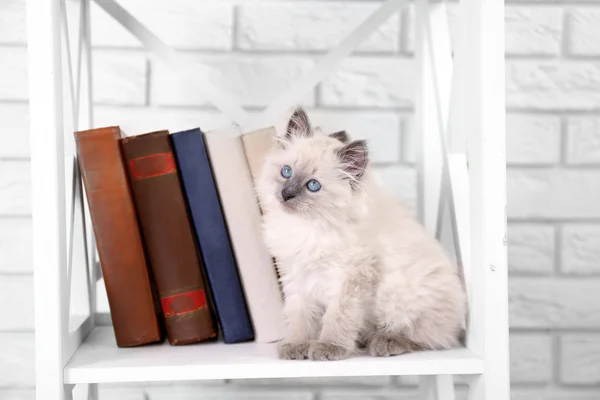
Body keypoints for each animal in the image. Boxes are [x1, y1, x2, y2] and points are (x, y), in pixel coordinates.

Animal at [255, 108, 466, 360]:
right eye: (286, 172)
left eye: (313, 186)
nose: (286, 194)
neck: (307, 227)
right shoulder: (296, 278)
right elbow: (300, 318)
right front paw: (297, 345)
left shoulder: (351, 280)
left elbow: (339, 317)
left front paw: (329, 347)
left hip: (404, 298)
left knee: (426, 337)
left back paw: (384, 342)